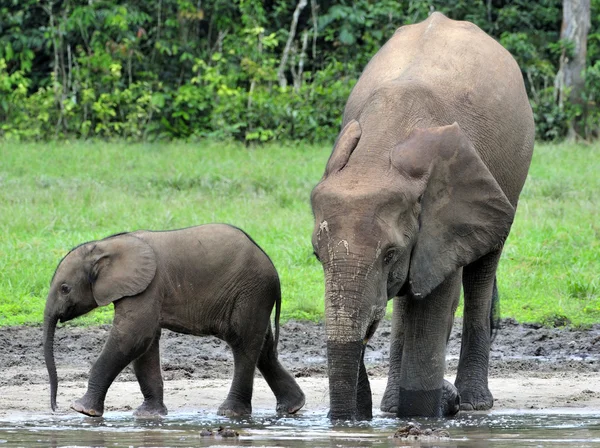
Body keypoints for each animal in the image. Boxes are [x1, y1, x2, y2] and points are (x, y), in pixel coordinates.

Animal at [43, 226, 304, 418]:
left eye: (65, 289)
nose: (55, 408)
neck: (105, 245)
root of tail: (273, 269)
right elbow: (144, 345)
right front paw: (149, 416)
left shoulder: (148, 286)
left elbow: (133, 337)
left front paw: (82, 410)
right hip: (254, 296)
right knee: (264, 348)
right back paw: (292, 407)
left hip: (251, 292)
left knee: (243, 344)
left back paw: (230, 413)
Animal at [310, 12, 536, 422]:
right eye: (317, 256)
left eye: (390, 255)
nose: (348, 421)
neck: (376, 155)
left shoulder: (448, 218)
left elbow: (434, 301)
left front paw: (421, 415)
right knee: (408, 296)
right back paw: (393, 406)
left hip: (511, 177)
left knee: (482, 271)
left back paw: (473, 403)